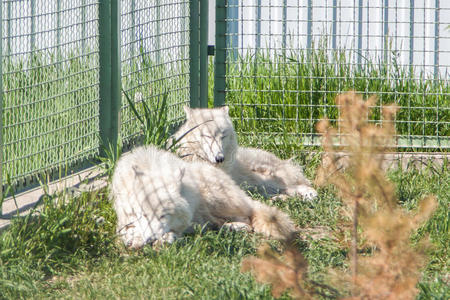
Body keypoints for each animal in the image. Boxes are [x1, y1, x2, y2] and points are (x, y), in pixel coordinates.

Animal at [110, 145, 298, 248]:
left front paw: (164, 239)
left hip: (218, 199)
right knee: (215, 224)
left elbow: (171, 232)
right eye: (144, 215)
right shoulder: (123, 219)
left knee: (247, 217)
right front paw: (135, 239)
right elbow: (128, 230)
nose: (149, 240)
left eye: (163, 215)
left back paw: (236, 227)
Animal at [171, 106, 316, 200]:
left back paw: (307, 194)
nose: (220, 158)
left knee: (298, 186)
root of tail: (286, 163)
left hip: (260, 179)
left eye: (223, 136)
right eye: (207, 136)